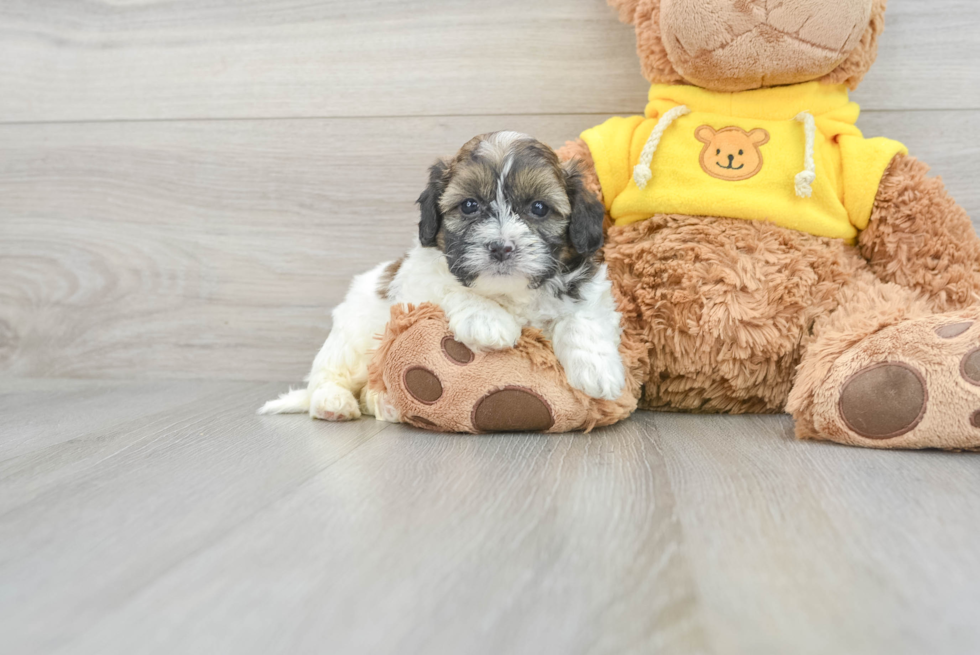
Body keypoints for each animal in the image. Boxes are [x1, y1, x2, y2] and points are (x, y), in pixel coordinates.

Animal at [260, 131, 624, 422]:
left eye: (538, 208)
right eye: (469, 206)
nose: (501, 247)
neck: (508, 293)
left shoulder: (589, 283)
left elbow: (583, 315)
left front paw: (598, 369)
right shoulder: (418, 280)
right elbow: (448, 286)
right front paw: (487, 320)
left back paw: (383, 404)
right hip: (353, 339)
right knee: (330, 375)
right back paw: (334, 402)